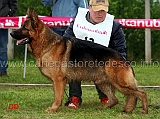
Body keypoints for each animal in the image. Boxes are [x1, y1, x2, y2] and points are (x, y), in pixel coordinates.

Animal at [9, 7, 148, 114]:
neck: (47, 44)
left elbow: (57, 97)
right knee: (116, 99)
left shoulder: (59, 80)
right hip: (102, 82)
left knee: (141, 93)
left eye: (24, 28)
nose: (11, 34)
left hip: (120, 83)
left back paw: (144, 110)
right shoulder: (56, 81)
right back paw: (107, 108)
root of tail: (122, 58)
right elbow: (57, 95)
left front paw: (54, 108)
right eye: (21, 26)